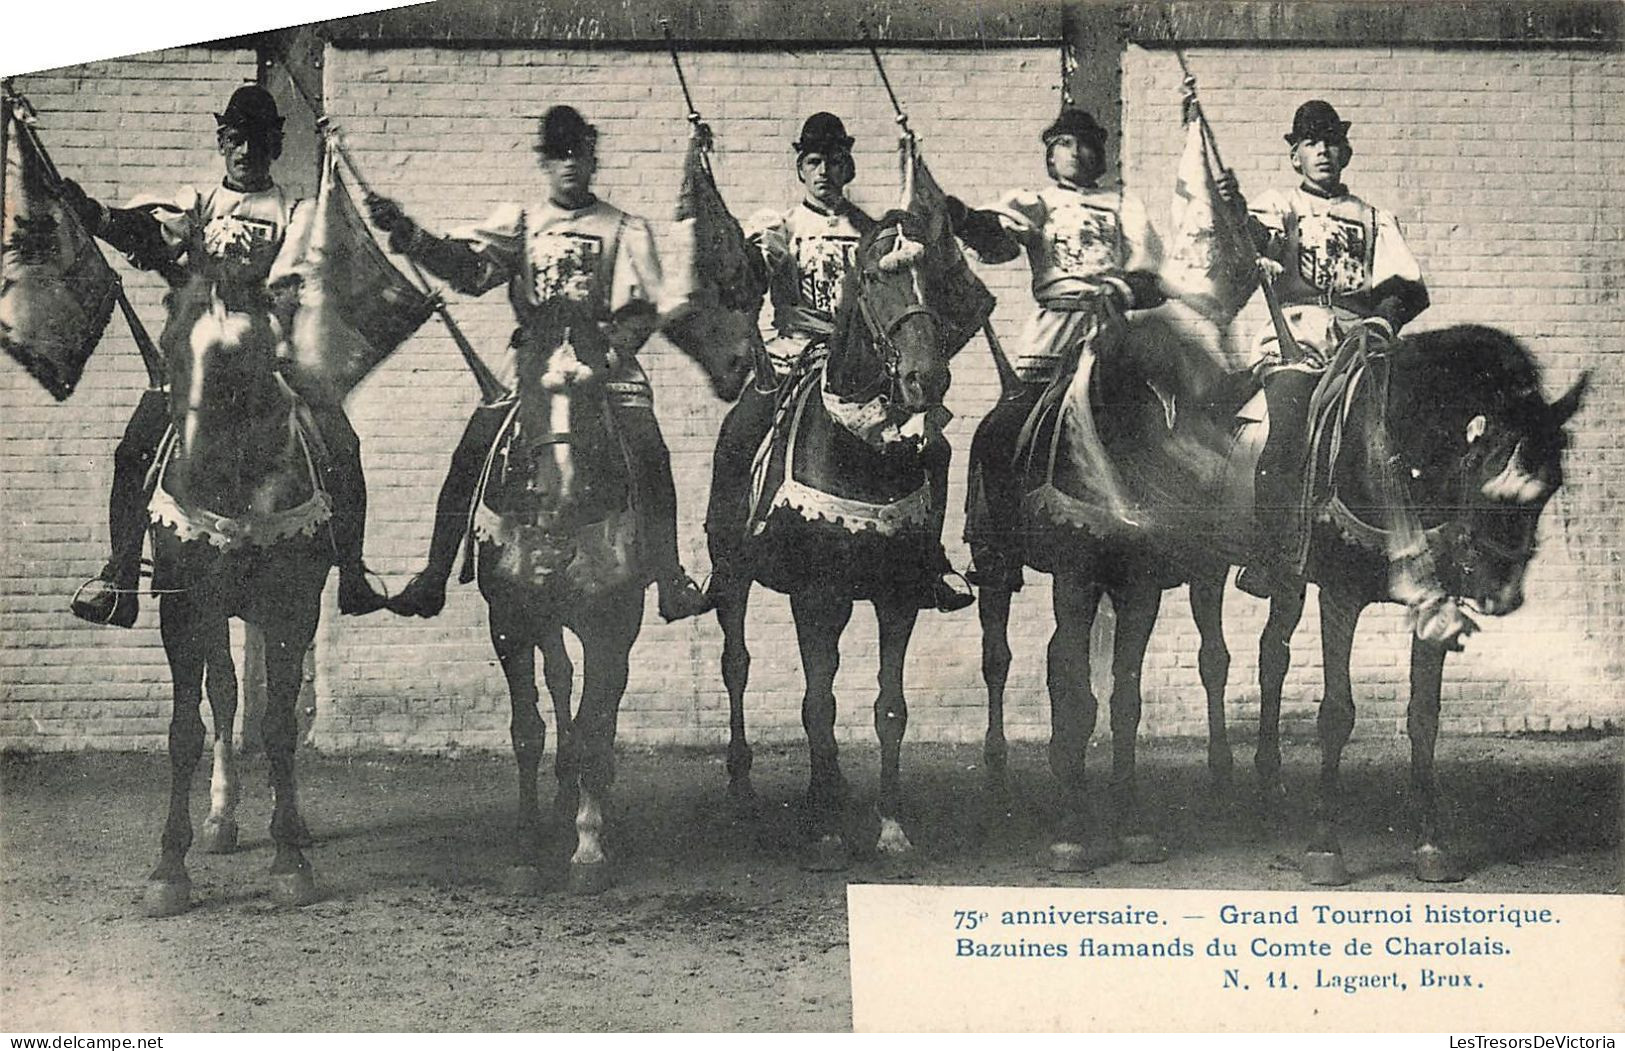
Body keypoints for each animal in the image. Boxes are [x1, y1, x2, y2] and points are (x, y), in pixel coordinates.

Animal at [471, 315, 747, 896]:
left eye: (594, 388)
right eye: (527, 386)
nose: (559, 493)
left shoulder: (610, 625)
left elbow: (596, 726)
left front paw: (589, 849)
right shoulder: (509, 622)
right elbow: (527, 731)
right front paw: (526, 850)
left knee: (602, 705)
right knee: (559, 677)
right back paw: (559, 797)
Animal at [708, 214, 949, 870]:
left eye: (934, 272)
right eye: (869, 278)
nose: (926, 379)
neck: (860, 446)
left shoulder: (897, 597)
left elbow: (887, 708)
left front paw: (890, 827)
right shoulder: (817, 592)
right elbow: (818, 704)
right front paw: (827, 832)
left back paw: (830, 787)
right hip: (735, 577)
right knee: (738, 666)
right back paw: (744, 789)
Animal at [968, 310, 1579, 877]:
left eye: (1550, 488)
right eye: (1492, 477)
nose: (1502, 593)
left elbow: (1423, 717)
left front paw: (1430, 844)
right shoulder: (1339, 593)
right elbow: (1336, 712)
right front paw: (1325, 847)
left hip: (1209, 572)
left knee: (1231, 658)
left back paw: (1240, 778)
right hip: (999, 564)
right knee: (1005, 657)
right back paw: (1002, 776)